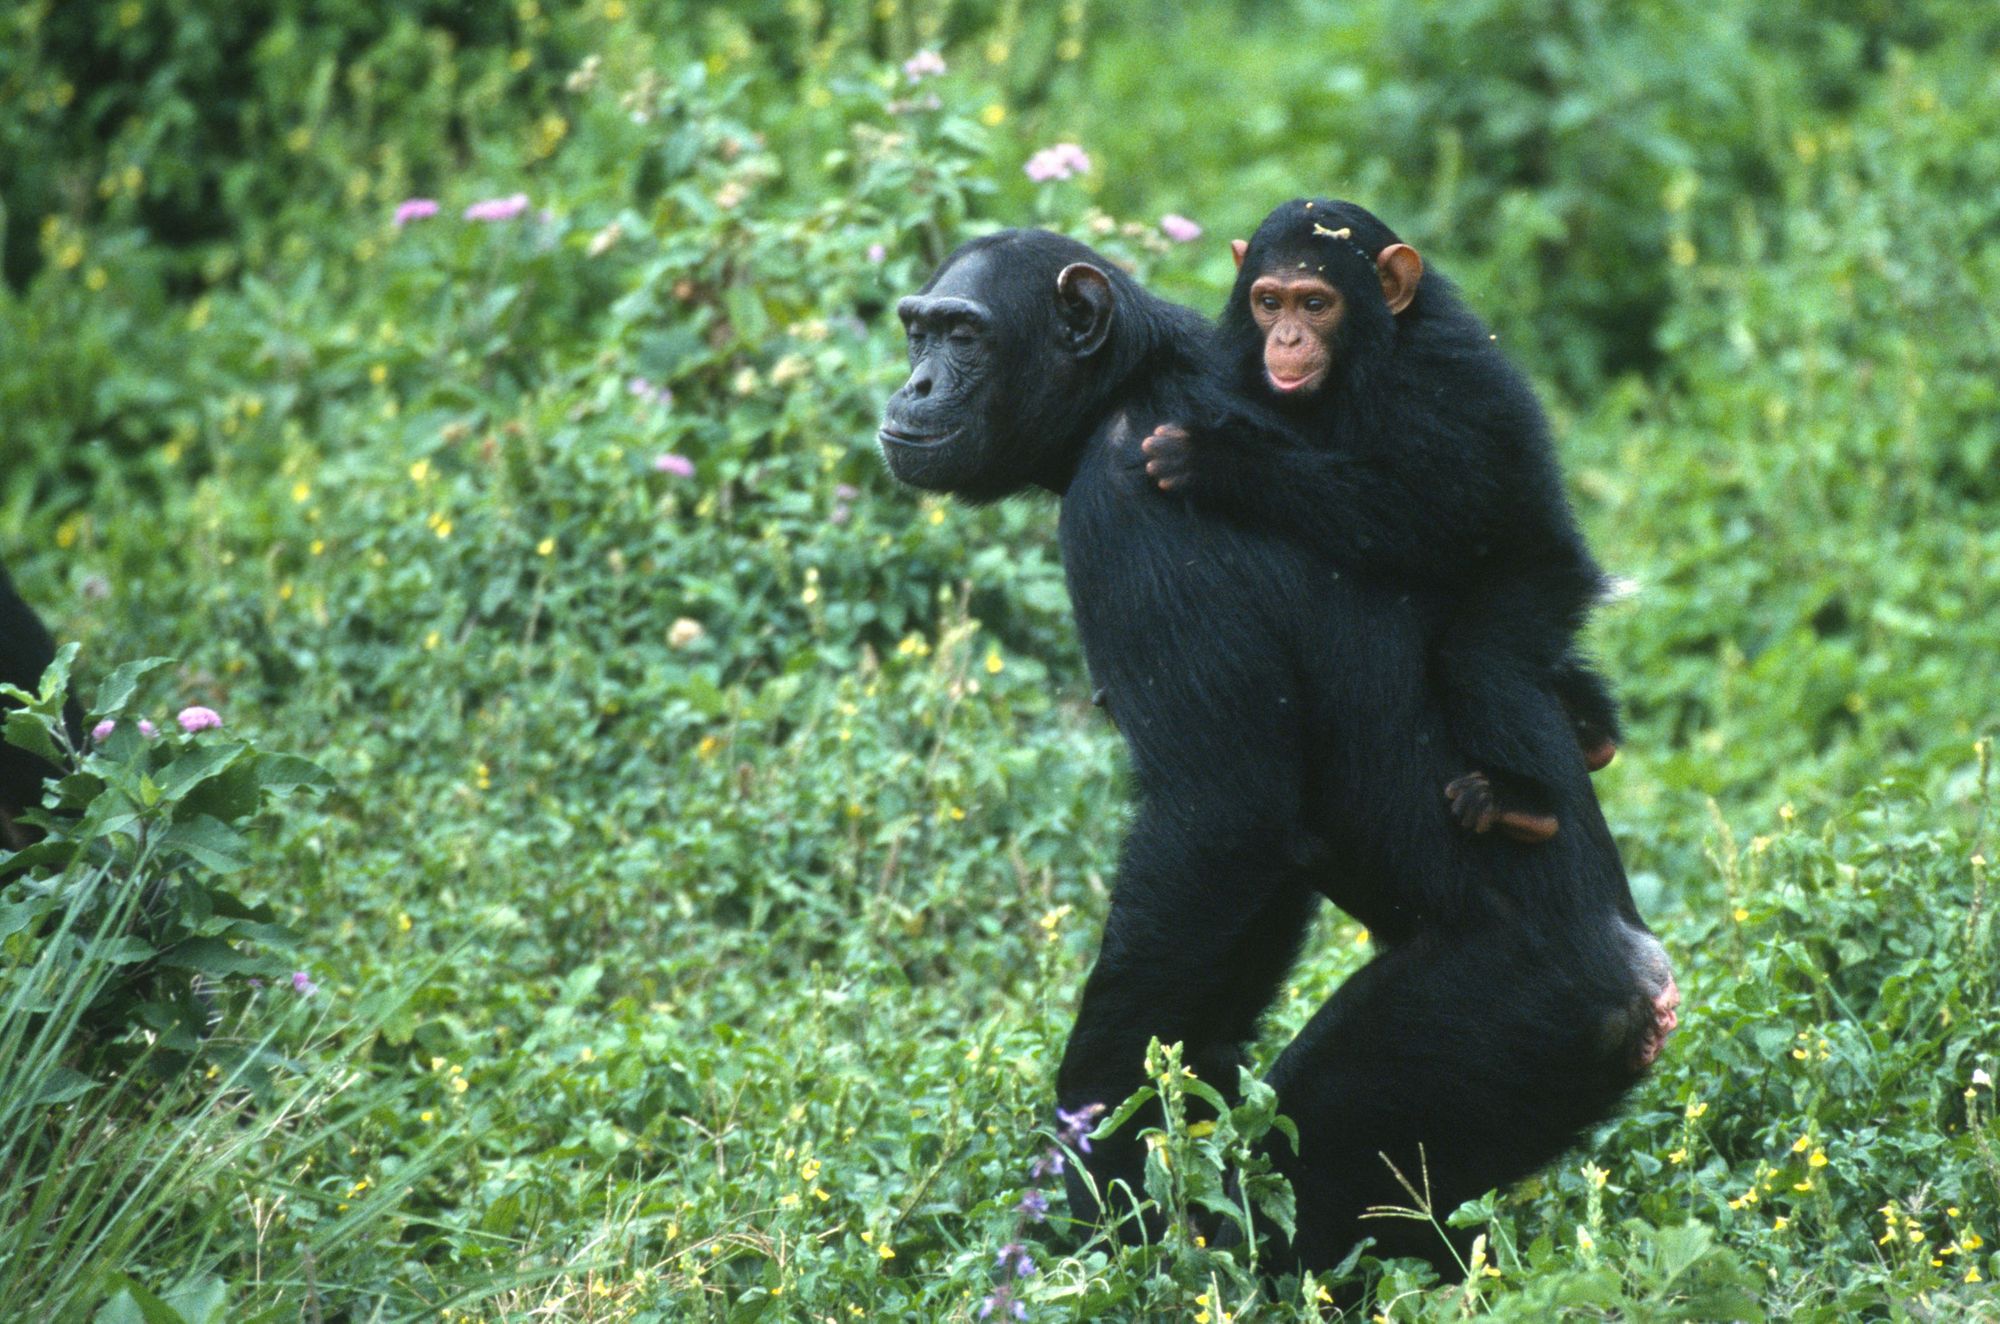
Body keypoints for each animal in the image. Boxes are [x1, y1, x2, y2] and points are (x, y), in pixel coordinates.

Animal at [1144, 202, 1624, 844]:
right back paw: (1589, 729)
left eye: (1314, 304)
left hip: (1546, 581)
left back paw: (1524, 800)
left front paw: (1216, 460)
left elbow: (1432, 518)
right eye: (1269, 302)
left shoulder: (1432, 379)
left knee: (1482, 659)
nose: (1287, 337)